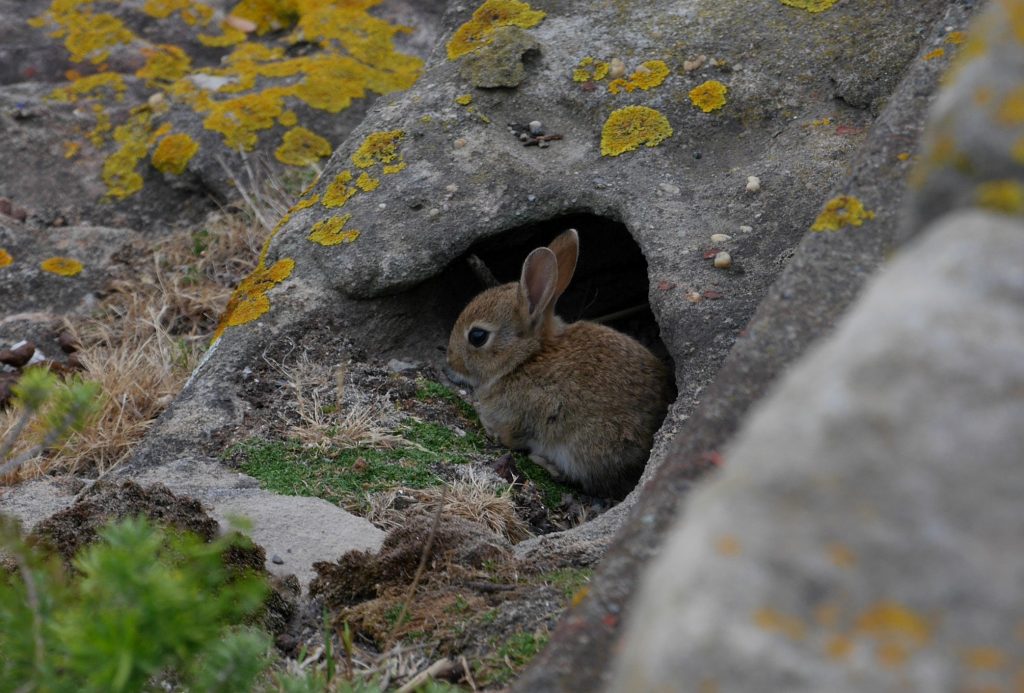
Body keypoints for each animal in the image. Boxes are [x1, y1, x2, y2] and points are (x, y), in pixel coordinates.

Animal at [445, 229, 673, 499]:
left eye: (477, 336)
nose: (450, 362)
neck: (526, 358)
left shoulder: (520, 416)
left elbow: (509, 436)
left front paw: (484, 420)